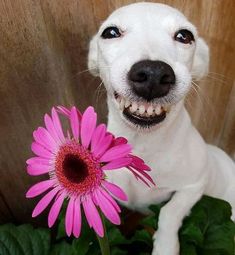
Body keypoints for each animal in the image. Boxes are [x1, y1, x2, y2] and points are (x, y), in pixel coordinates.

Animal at [87, 2, 234, 255]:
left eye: (185, 36)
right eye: (111, 32)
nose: (153, 74)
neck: (144, 146)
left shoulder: (194, 186)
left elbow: (169, 211)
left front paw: (165, 246)